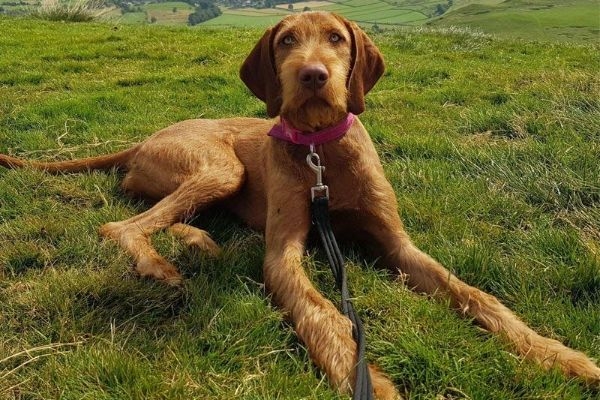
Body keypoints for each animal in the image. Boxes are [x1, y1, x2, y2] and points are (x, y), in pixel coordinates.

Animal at [1, 10, 600, 398]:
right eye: (287, 40)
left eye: (336, 38)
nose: (314, 75)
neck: (320, 151)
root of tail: (145, 137)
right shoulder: (283, 254)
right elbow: (323, 314)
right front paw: (370, 382)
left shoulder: (398, 245)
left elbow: (474, 294)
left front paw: (559, 355)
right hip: (222, 168)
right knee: (122, 225)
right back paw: (159, 265)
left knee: (167, 217)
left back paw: (199, 242)